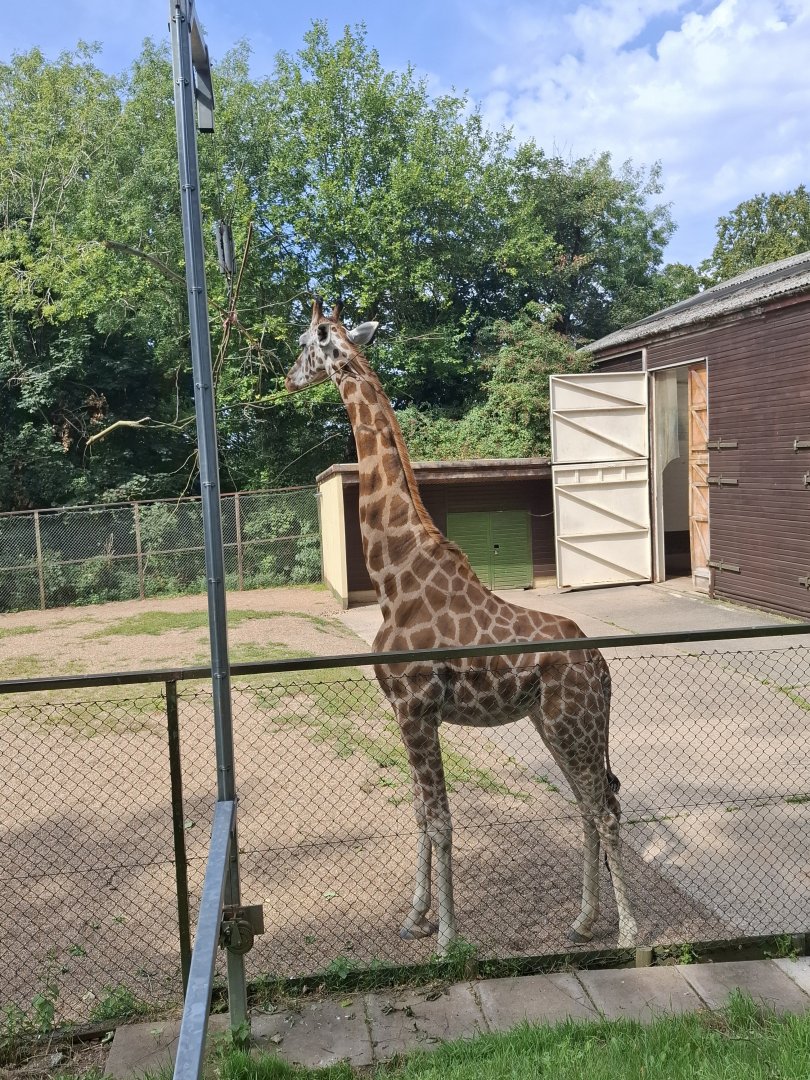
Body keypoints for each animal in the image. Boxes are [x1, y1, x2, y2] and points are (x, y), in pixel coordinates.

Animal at [286, 298, 638, 953]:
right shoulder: (405, 713)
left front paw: (447, 937)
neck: (394, 575)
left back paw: (628, 933)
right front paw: (415, 917)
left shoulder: (416, 707)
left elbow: (443, 821)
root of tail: (601, 667)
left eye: (305, 343)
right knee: (589, 803)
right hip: (554, 722)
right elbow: (421, 814)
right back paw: (582, 922)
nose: (291, 378)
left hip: (573, 722)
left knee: (604, 807)